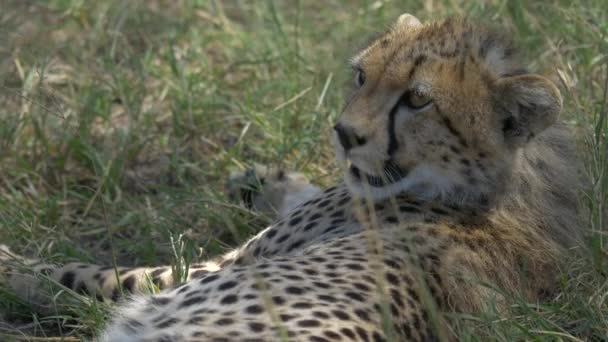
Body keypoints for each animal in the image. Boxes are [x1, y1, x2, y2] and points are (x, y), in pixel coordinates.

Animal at [0, 14, 580, 340]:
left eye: (418, 100)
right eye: (362, 75)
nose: (345, 133)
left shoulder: (211, 268)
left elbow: (85, 276)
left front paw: (12, 265)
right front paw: (264, 179)